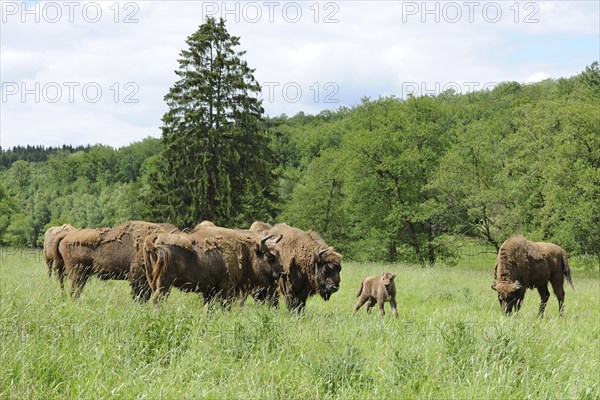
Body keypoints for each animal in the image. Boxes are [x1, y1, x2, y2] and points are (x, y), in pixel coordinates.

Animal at [146, 225, 284, 306]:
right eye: (270, 257)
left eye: (279, 254)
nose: (281, 272)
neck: (246, 252)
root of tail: (155, 239)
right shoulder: (227, 288)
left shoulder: (209, 290)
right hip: (164, 283)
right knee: (157, 299)